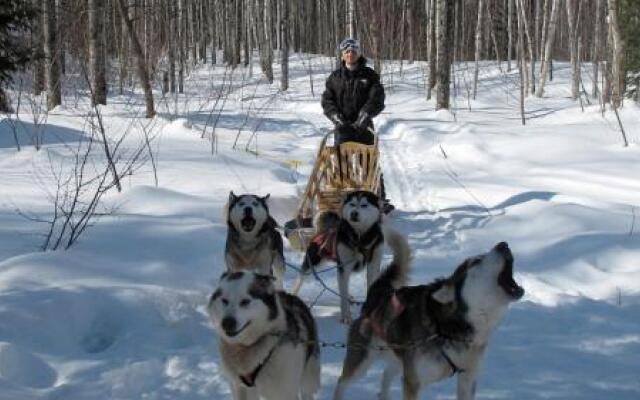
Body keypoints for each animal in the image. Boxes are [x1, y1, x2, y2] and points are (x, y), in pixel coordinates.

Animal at [209, 272, 320, 400]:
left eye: (245, 301)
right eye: (224, 300)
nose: (227, 323)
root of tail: (290, 295)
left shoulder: (284, 392)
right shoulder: (239, 387)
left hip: (308, 378)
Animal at [292, 189, 388, 324]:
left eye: (364, 205)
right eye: (352, 204)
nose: (354, 213)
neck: (360, 239)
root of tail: (322, 230)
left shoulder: (373, 265)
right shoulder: (344, 266)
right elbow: (342, 292)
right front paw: (346, 316)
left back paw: (350, 297)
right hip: (312, 263)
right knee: (300, 278)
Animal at [336, 241, 524, 400]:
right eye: (476, 261)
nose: (503, 245)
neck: (447, 329)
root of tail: (380, 293)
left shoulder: (468, 379)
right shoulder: (413, 383)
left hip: (399, 359)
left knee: (386, 376)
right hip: (361, 363)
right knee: (341, 382)